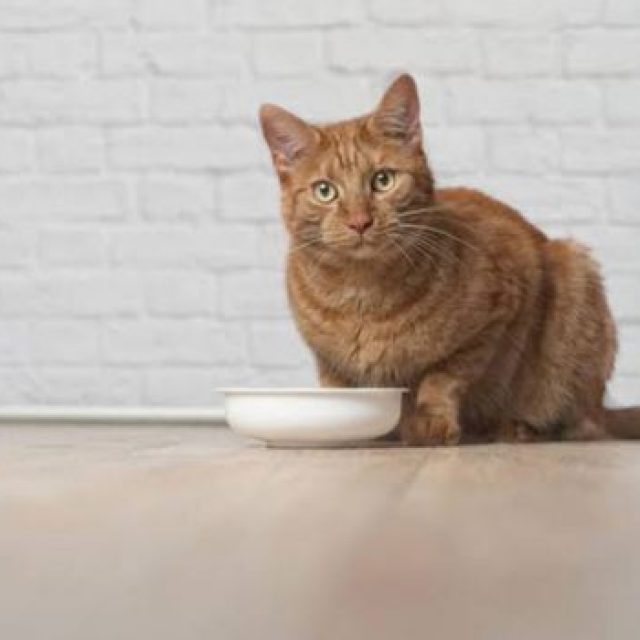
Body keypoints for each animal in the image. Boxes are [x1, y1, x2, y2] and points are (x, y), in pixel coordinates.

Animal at [259, 73, 640, 445]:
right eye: (325, 191)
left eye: (382, 180)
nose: (359, 221)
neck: (361, 293)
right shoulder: (328, 361)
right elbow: (340, 389)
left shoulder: (496, 313)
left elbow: (443, 376)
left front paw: (429, 421)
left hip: (574, 273)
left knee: (580, 422)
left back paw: (517, 429)